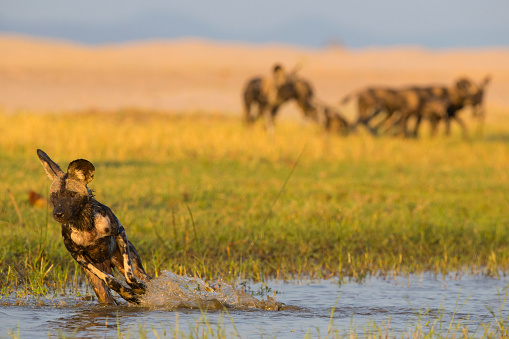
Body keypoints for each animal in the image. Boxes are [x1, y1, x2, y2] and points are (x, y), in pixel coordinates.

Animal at [36, 149, 150, 306]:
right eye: (54, 195)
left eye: (72, 194)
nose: (58, 213)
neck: (84, 224)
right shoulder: (79, 256)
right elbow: (109, 280)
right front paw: (127, 294)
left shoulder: (120, 232)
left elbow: (129, 275)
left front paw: (138, 289)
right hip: (98, 287)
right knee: (106, 293)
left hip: (135, 266)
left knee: (143, 277)